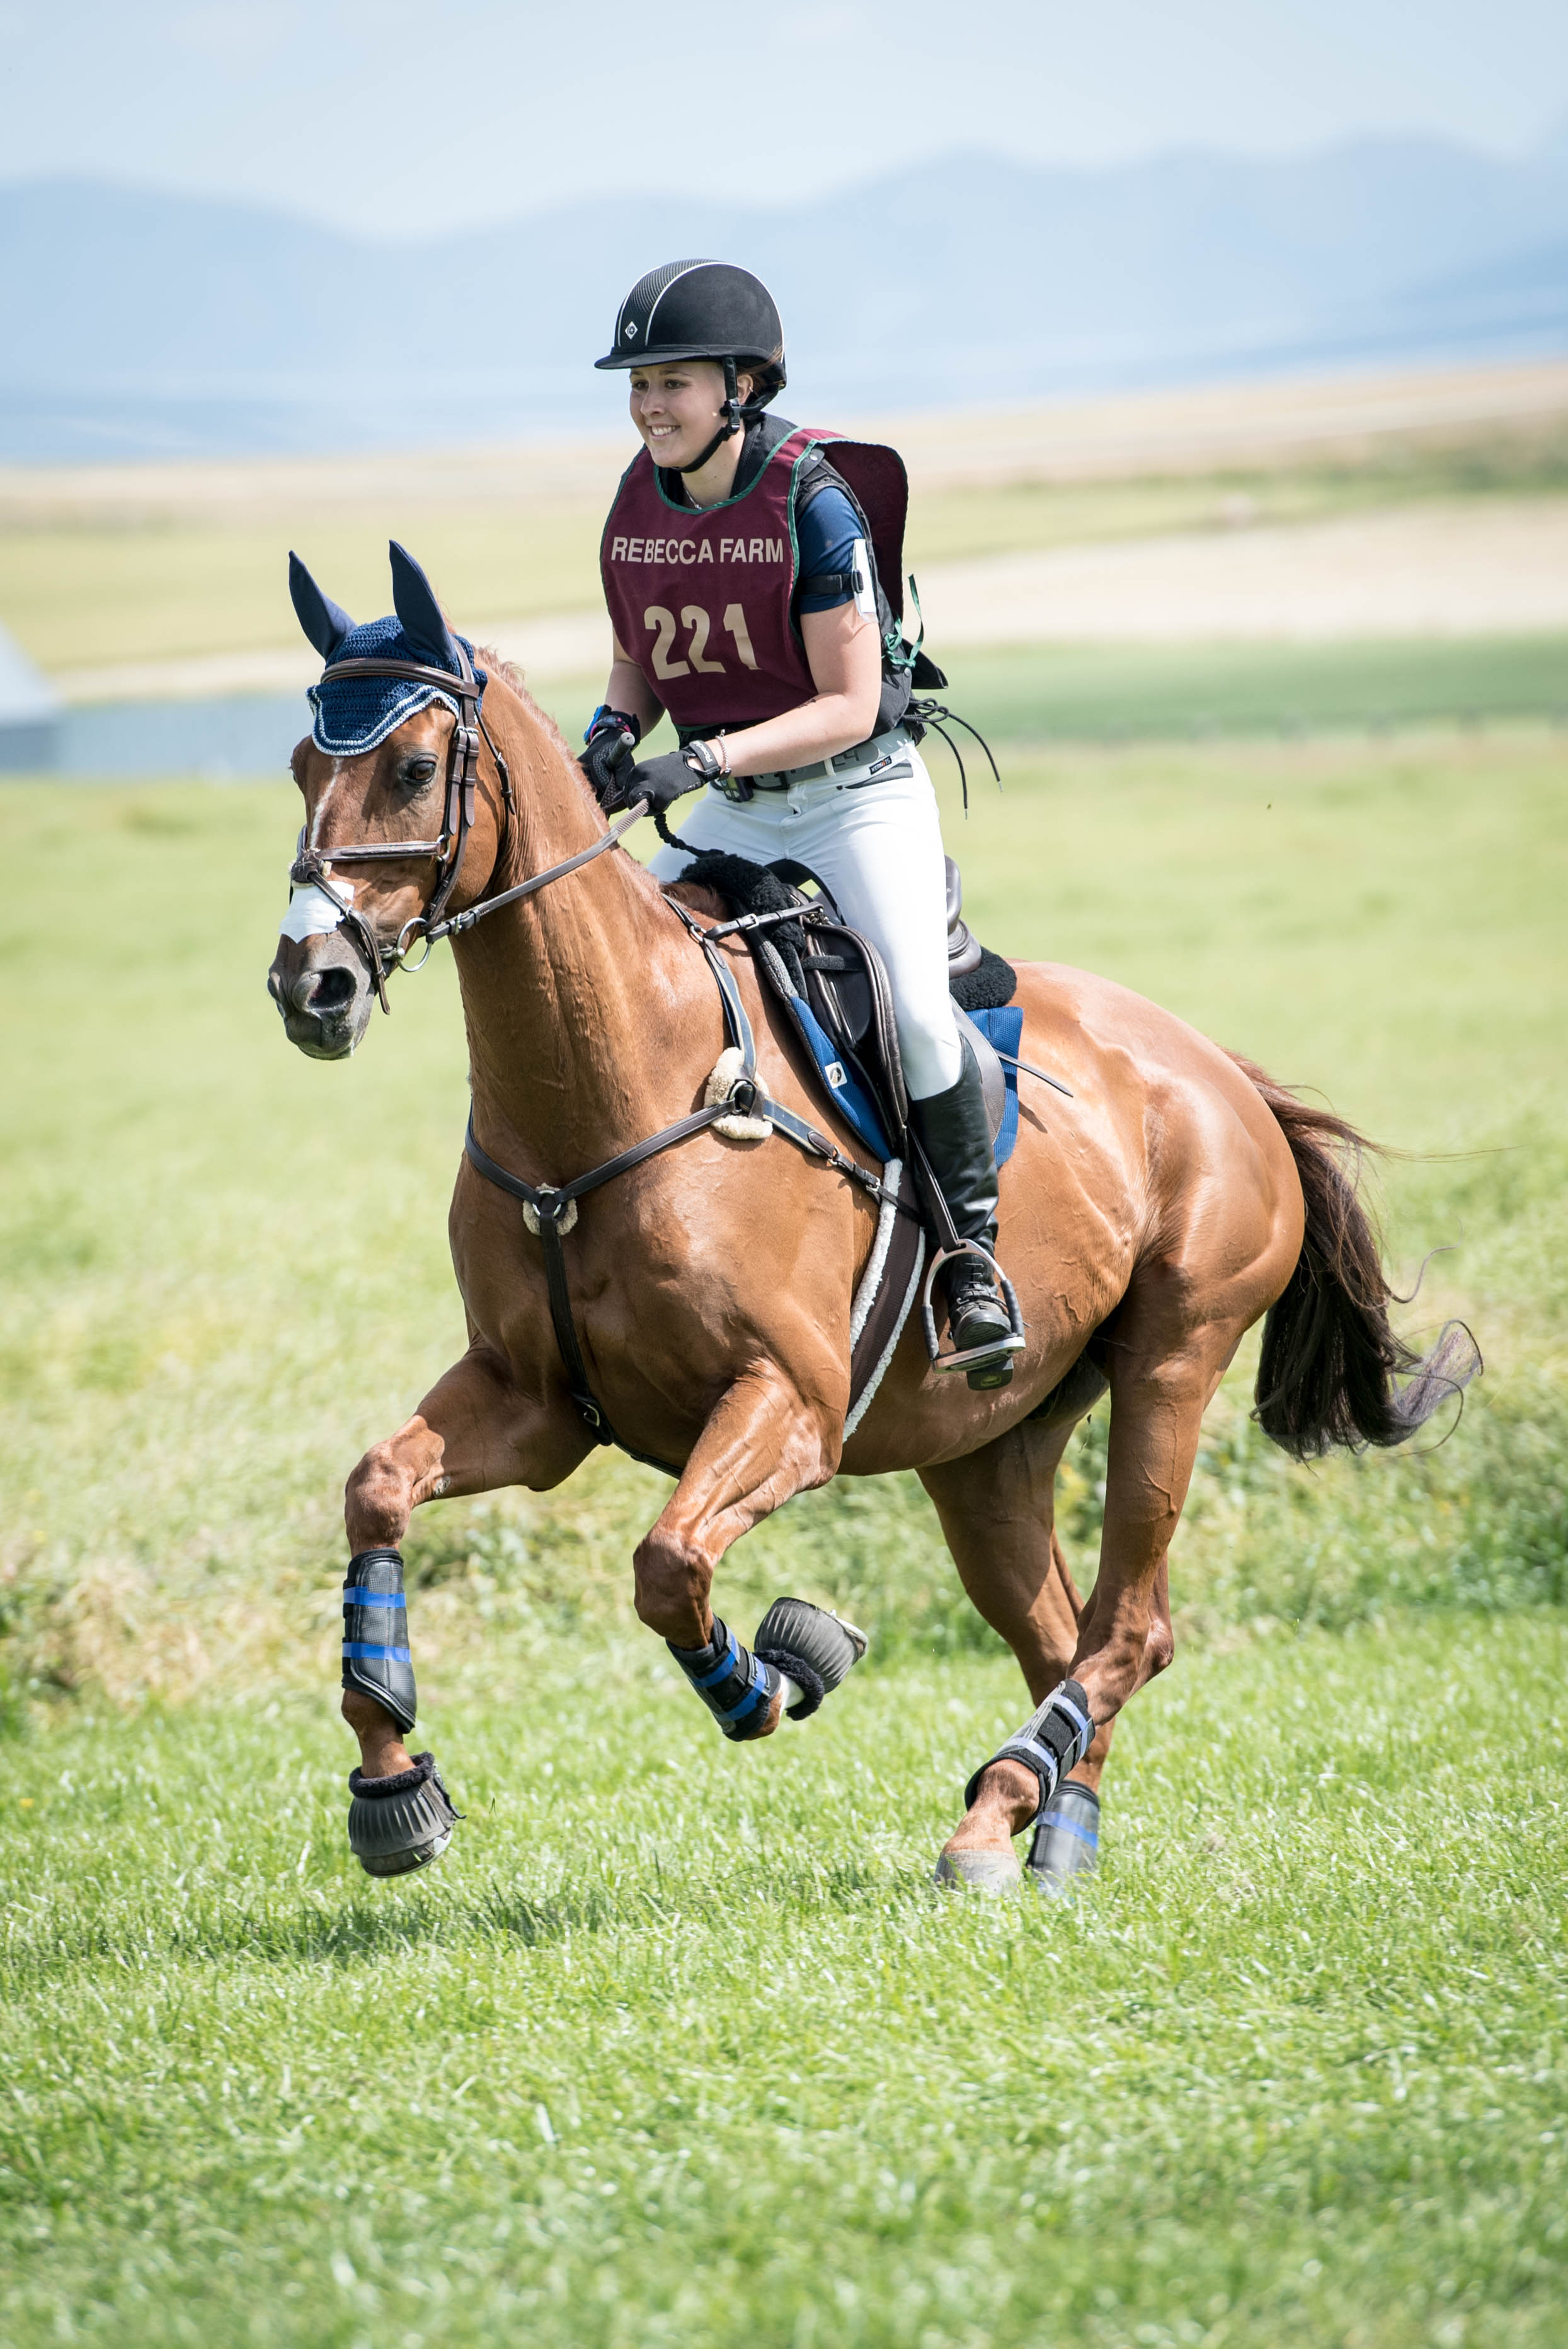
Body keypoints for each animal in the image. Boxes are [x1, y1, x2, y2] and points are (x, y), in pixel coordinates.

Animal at [268, 544, 1476, 1890]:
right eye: (302, 765)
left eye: (413, 769)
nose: (308, 983)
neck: (604, 1090)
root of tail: (1220, 1071)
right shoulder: (535, 1403)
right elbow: (380, 1486)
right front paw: (391, 1780)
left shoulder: (787, 1404)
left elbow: (668, 1565)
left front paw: (774, 1668)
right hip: (983, 1449)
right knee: (1059, 1629)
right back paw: (1044, 1828)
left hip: (1173, 1357)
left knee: (1128, 1625)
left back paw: (995, 1811)